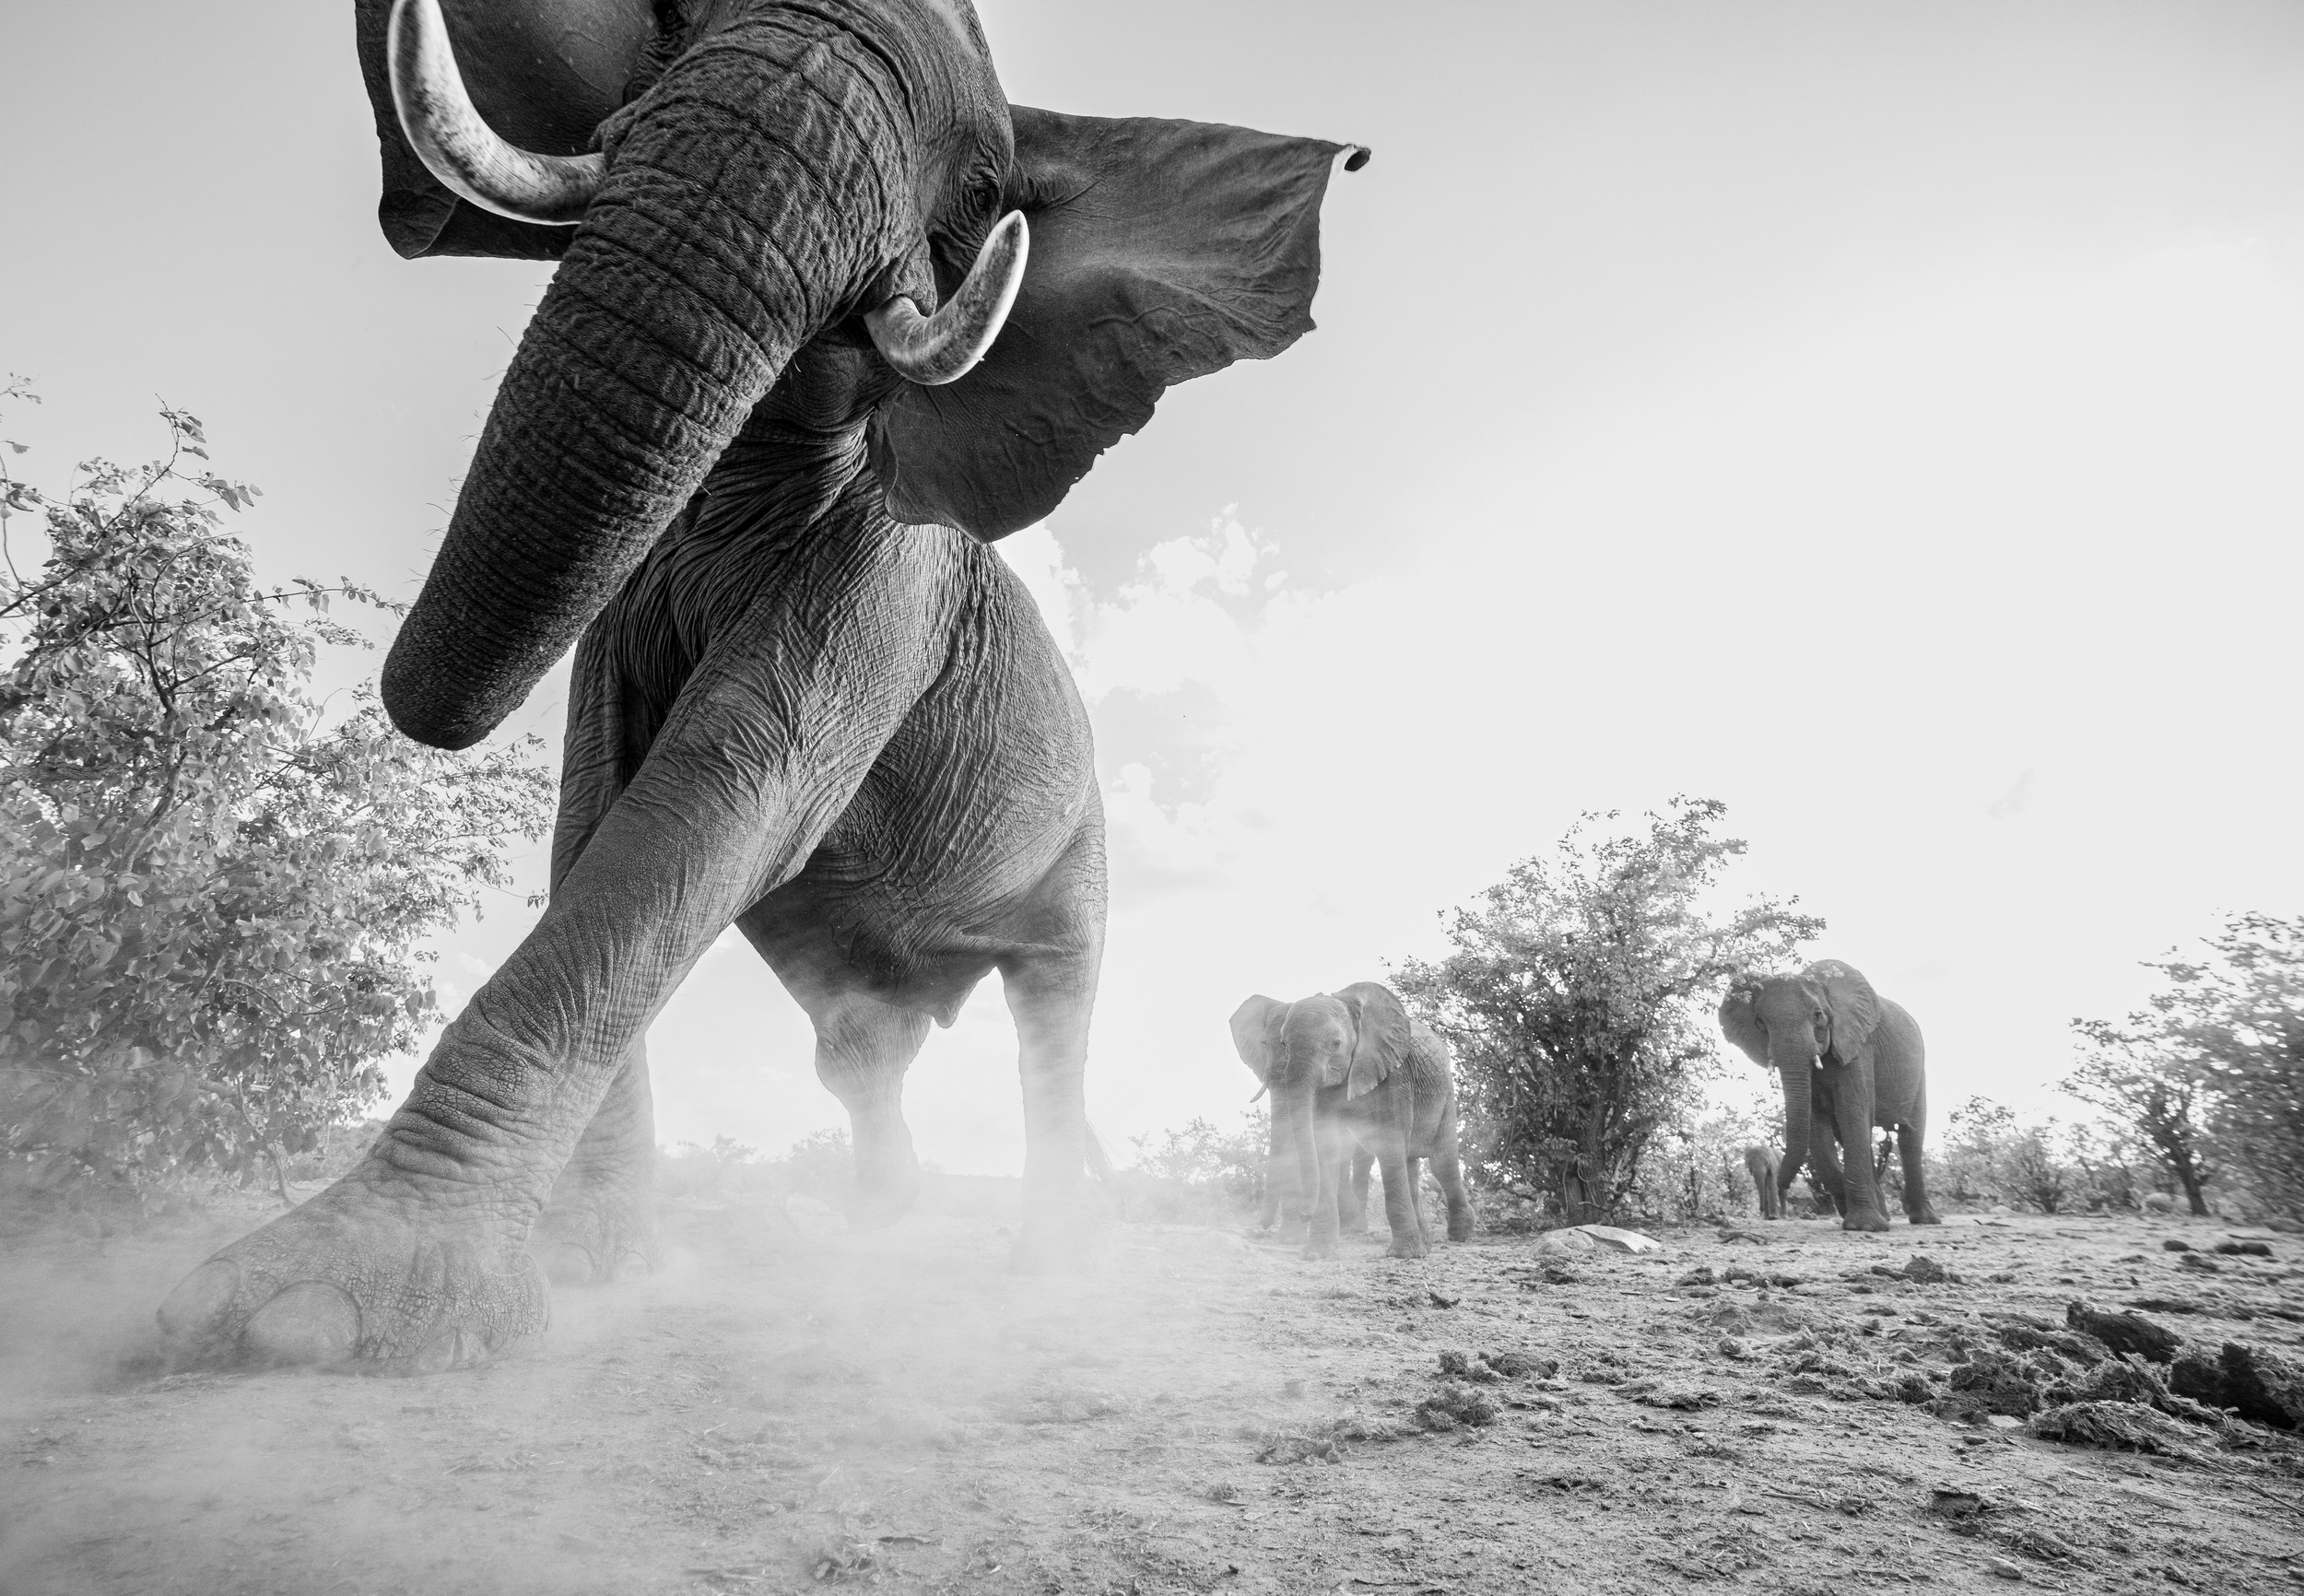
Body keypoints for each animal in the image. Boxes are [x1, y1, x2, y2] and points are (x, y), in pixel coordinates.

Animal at [156, 0, 1363, 1372]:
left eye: (984, 190)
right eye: (674, 33)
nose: (417, 708)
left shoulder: (886, 582)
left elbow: (729, 789)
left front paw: (304, 1316)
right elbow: (598, 808)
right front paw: (598, 1269)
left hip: (1085, 838)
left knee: (1054, 1010)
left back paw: (1047, 1269)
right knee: (860, 1043)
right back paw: (874, 1234)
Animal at [1229, 985, 1475, 1261]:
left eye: (1336, 1044)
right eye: (1279, 1044)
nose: (1305, 1214)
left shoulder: (1394, 1075)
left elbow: (1389, 1144)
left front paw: (1403, 1255)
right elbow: (1326, 1146)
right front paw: (1316, 1254)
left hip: (1447, 1094)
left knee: (1442, 1162)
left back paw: (1460, 1234)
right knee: (1410, 1162)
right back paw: (1425, 1244)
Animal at [1719, 960, 1940, 1233]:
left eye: (1817, 1016)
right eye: (1760, 1022)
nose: (1783, 1181)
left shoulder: (1858, 1045)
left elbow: (1852, 1112)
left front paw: (1864, 1226)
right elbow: (1817, 1124)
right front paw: (1856, 1217)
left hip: (1919, 1072)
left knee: (1910, 1137)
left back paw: (1924, 1220)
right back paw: (1885, 1215)